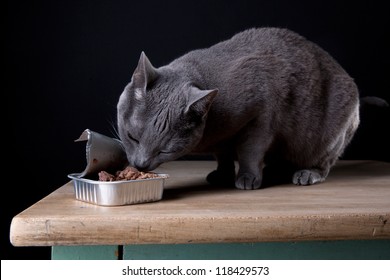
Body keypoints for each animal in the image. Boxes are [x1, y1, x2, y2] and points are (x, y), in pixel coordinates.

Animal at [116, 27, 360, 190]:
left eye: (164, 151)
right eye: (132, 137)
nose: (140, 164)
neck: (215, 129)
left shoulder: (262, 115)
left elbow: (249, 151)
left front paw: (247, 178)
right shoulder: (221, 140)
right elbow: (222, 155)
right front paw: (222, 174)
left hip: (332, 135)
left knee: (324, 161)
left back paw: (306, 174)